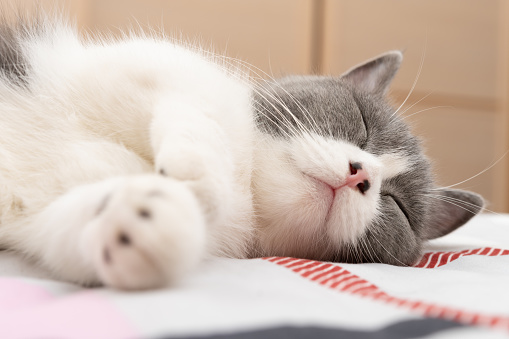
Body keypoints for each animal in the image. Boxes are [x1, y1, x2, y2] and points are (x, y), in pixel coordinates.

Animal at [0, 13, 482, 290]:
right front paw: (200, 177)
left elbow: (69, 236)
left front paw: (147, 216)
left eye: (398, 207)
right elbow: (197, 104)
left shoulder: (41, 226)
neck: (247, 189)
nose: (359, 173)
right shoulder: (133, 66)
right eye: (361, 123)